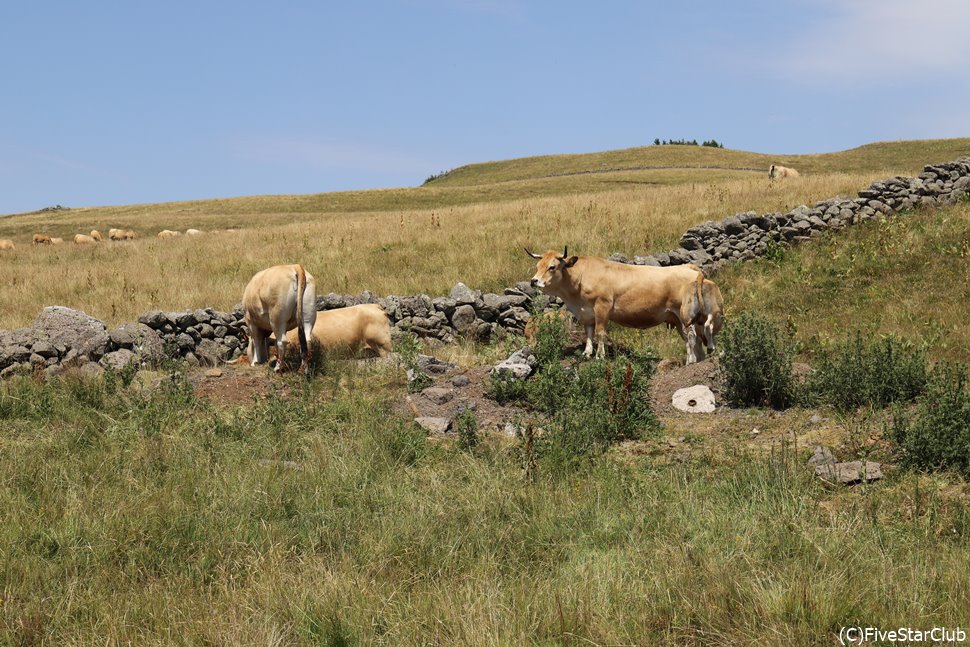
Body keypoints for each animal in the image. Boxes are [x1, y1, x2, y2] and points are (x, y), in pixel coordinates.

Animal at [524, 248, 724, 364]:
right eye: (538, 265)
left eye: (552, 267)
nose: (534, 281)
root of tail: (689, 267)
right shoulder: (586, 313)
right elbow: (589, 332)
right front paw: (587, 353)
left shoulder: (602, 307)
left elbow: (600, 333)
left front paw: (600, 355)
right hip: (679, 319)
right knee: (693, 340)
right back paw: (697, 360)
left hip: (685, 316)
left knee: (692, 338)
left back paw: (691, 361)